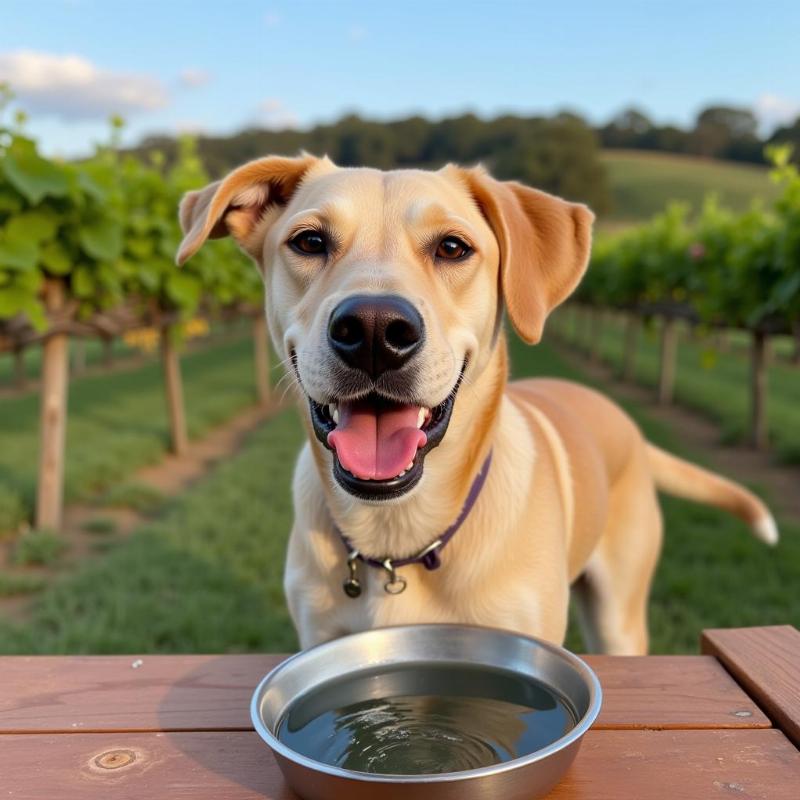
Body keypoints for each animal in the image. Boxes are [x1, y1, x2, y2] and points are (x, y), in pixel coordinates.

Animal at [178, 153, 780, 652]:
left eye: (452, 247)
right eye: (308, 242)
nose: (373, 330)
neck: (397, 536)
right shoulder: (319, 634)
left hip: (619, 615)